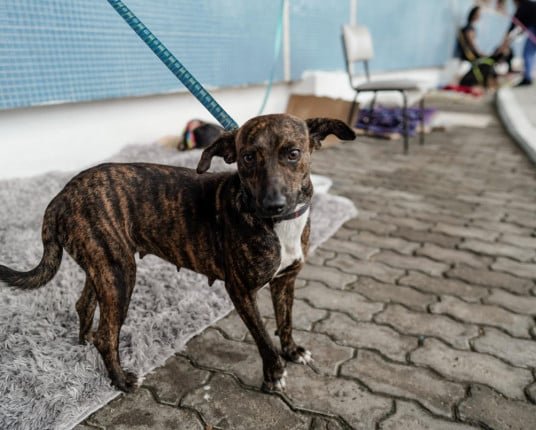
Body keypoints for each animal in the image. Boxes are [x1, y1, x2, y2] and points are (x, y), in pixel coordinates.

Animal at [0, 114, 356, 394]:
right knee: (107, 335)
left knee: (84, 305)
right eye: (247, 158)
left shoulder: (285, 282)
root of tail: (61, 196)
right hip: (120, 273)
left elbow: (286, 321)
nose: (273, 205)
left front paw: (292, 351)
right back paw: (121, 380)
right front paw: (274, 374)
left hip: (104, 265)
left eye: (293, 154)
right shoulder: (241, 290)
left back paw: (83, 341)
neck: (280, 225)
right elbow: (263, 335)